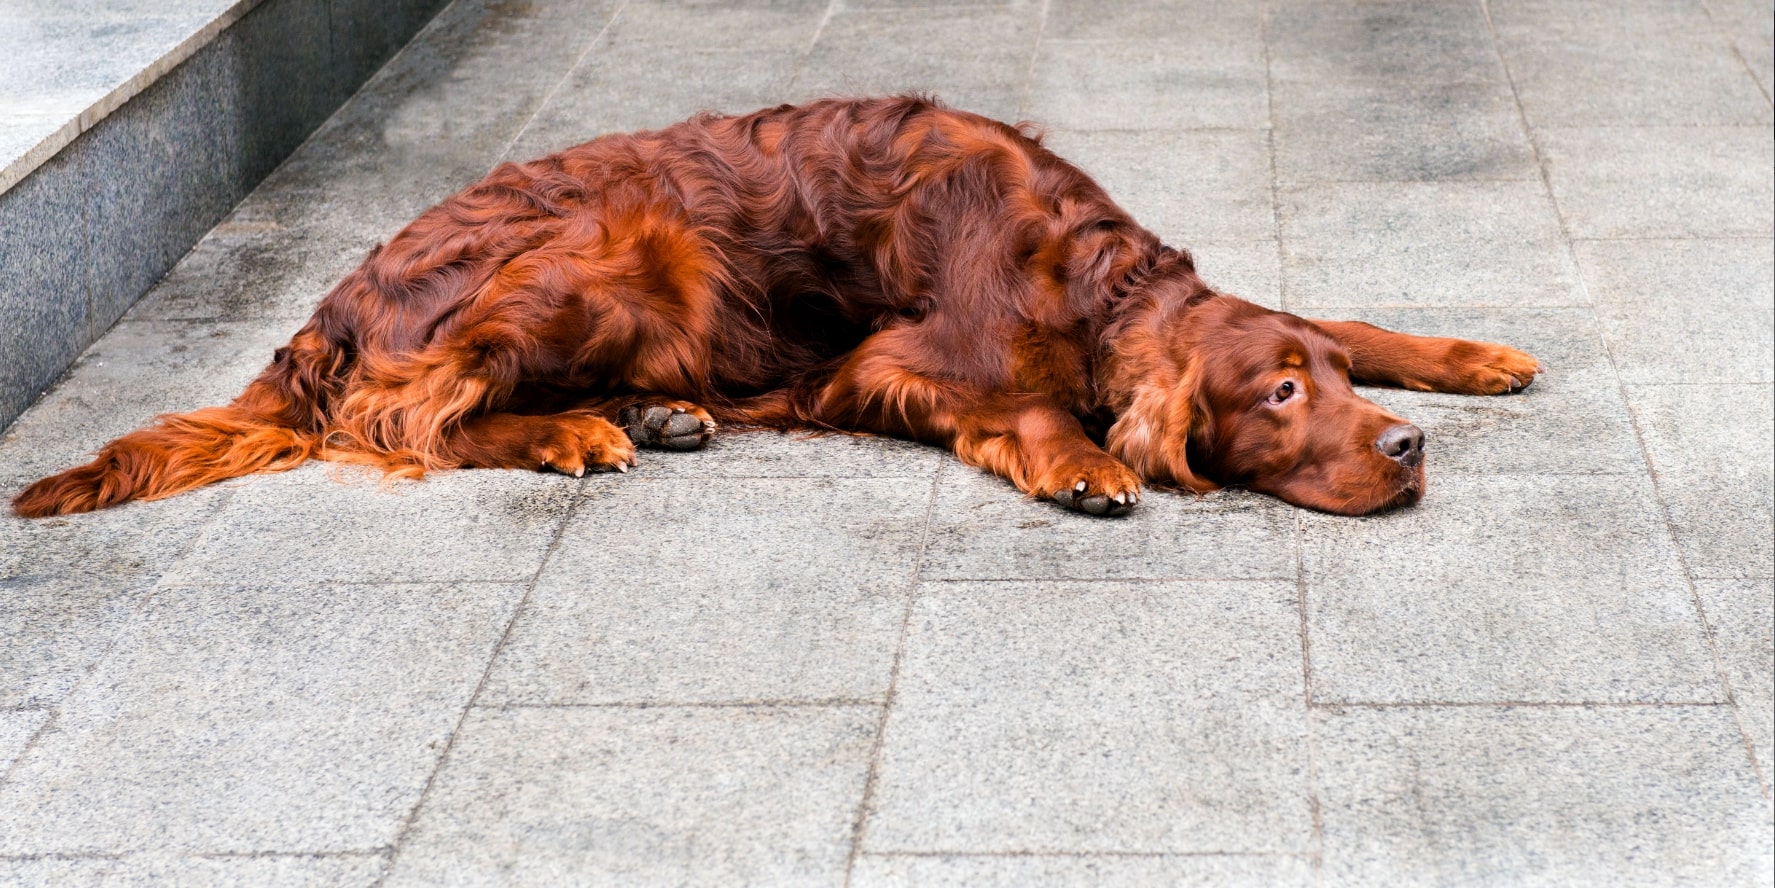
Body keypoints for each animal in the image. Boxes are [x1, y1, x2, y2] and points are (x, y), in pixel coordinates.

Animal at [10, 95, 1540, 518]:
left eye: (1328, 386)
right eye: (1270, 397)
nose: (1403, 450)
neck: (1080, 270)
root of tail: (330, 304)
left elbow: (1357, 312)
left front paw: (1468, 353)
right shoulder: (898, 360)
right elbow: (1031, 403)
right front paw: (1084, 466)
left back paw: (648, 414)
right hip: (622, 241)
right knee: (405, 421)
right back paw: (579, 432)